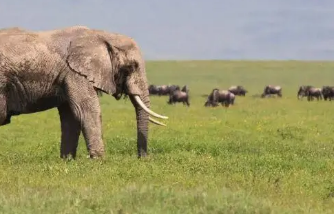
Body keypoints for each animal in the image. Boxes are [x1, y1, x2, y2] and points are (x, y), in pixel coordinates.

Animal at [0, 25, 168, 159]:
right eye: (131, 67)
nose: (143, 158)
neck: (101, 34)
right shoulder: (75, 73)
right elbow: (86, 110)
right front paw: (100, 160)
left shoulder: (67, 75)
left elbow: (71, 117)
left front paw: (67, 160)